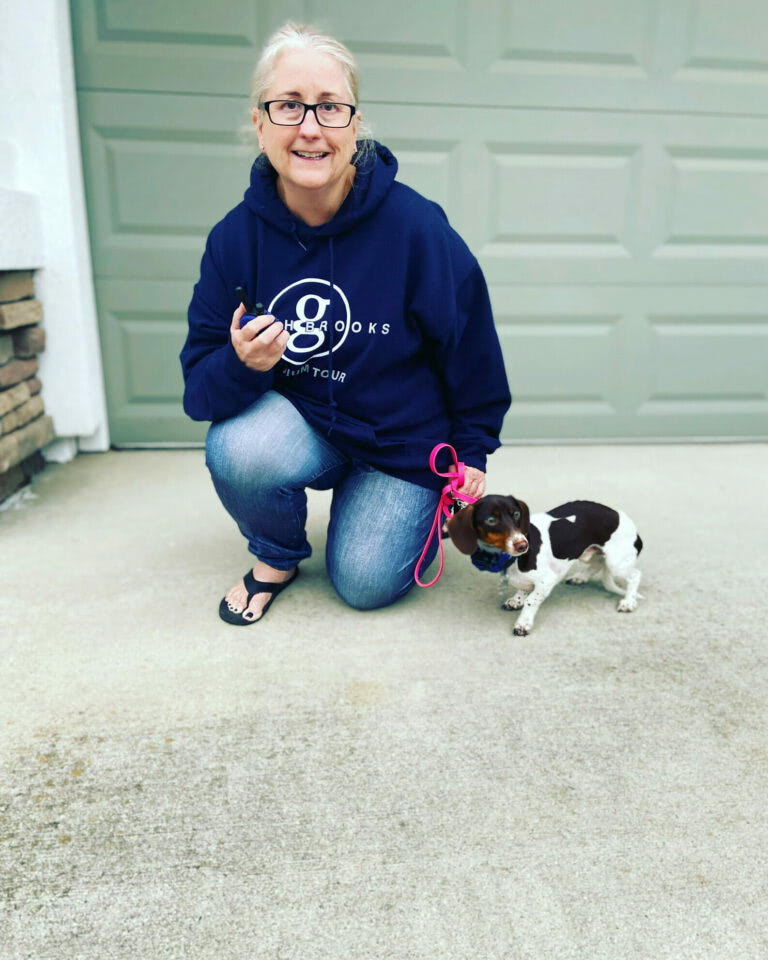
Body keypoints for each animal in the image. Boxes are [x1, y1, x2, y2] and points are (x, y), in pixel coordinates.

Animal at [448, 496, 644, 636]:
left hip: (616, 562)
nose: (523, 545)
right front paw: (516, 599)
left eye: (516, 514)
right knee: (596, 565)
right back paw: (579, 577)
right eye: (491, 520)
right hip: (589, 554)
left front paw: (523, 623)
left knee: (635, 575)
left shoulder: (547, 580)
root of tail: (621, 515)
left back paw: (628, 602)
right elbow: (523, 590)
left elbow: (531, 601)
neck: (510, 558)